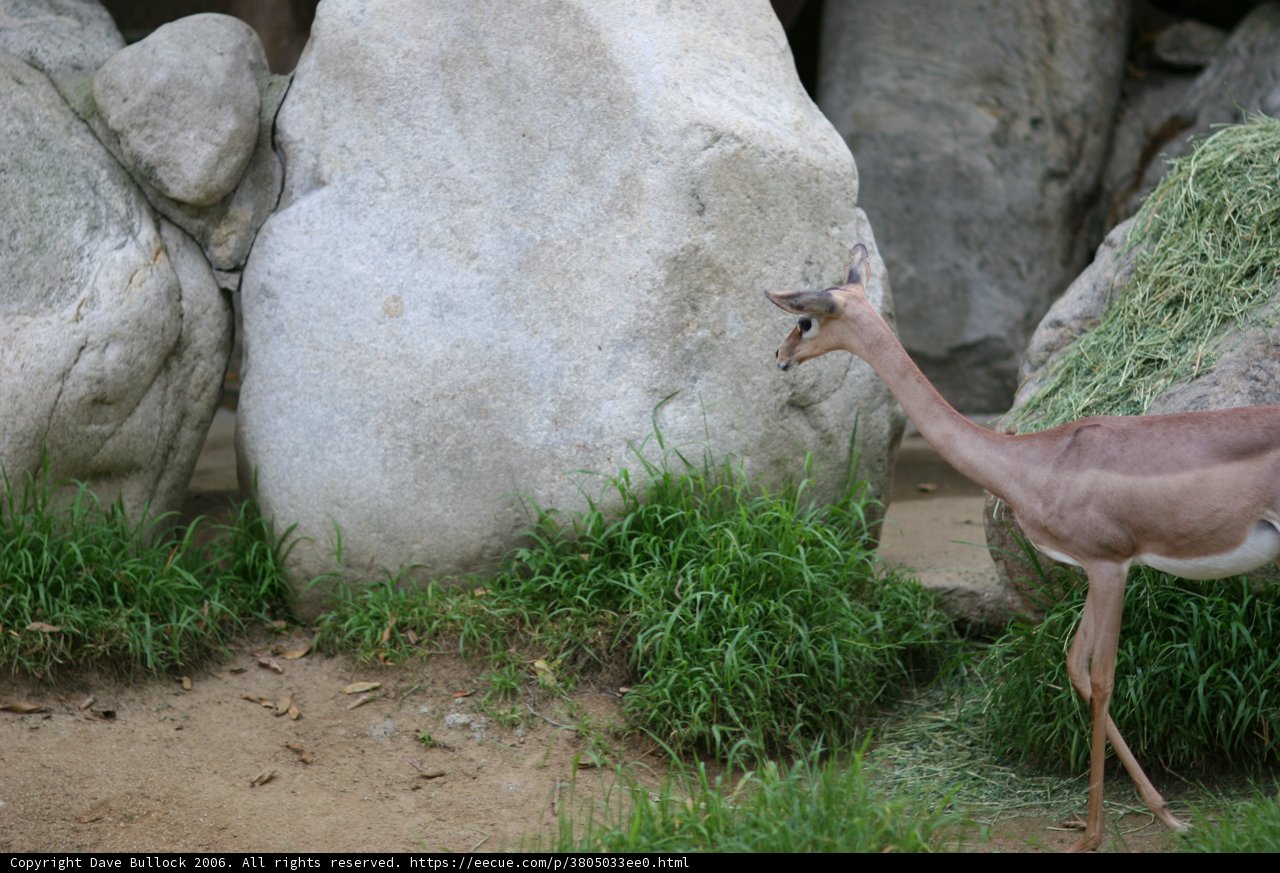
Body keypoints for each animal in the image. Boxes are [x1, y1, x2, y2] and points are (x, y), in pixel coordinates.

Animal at [767, 243, 1280, 852]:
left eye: (805, 319)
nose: (779, 356)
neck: (1034, 463)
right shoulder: (1093, 571)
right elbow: (1075, 666)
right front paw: (1168, 816)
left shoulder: (1110, 566)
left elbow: (1102, 678)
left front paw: (1092, 835)